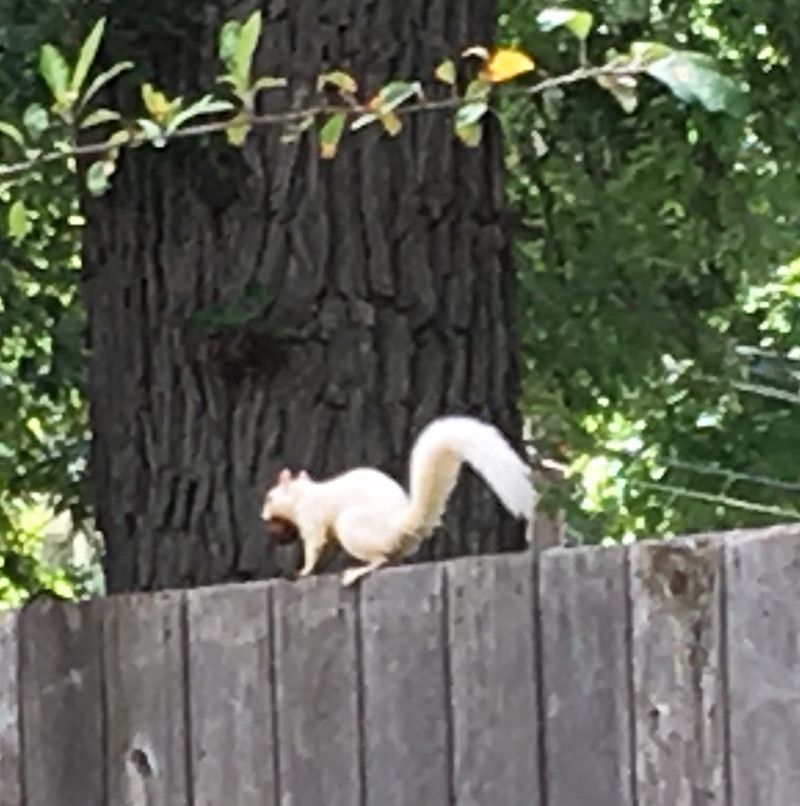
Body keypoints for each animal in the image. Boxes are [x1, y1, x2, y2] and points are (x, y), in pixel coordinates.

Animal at [261, 415, 535, 586]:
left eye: (270, 497)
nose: (263, 515)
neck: (303, 495)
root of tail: (400, 527)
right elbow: (325, 550)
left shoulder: (312, 520)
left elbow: (314, 547)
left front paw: (302, 571)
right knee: (391, 559)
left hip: (352, 526)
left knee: (381, 559)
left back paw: (357, 571)